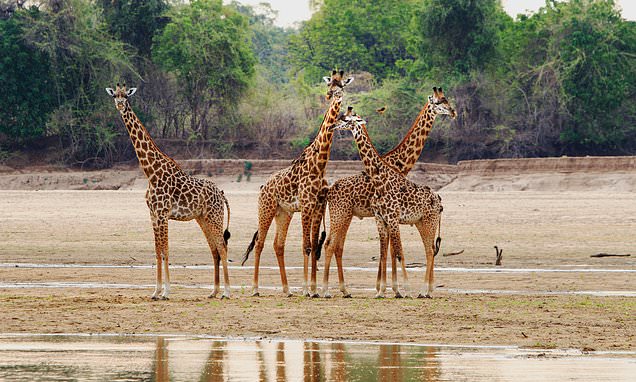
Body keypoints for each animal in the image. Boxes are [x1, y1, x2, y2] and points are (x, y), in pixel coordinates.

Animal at [105, 85, 232, 300]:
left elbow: (166, 250)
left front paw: (166, 291)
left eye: (126, 96)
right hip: (203, 218)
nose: (120, 105)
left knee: (222, 247)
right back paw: (213, 291)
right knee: (214, 249)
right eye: (114, 95)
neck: (151, 172)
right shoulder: (153, 214)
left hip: (215, 217)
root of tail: (221, 193)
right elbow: (158, 251)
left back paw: (227, 292)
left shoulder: (163, 214)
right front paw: (155, 291)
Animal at [242, 70, 356, 296]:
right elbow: (307, 246)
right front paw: (307, 289)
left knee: (278, 245)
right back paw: (255, 288)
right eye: (330, 84)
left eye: (341, 85)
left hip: (283, 213)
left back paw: (287, 289)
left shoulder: (319, 205)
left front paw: (314, 288)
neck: (319, 164)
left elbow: (313, 243)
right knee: (259, 243)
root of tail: (262, 186)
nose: (331, 95)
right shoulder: (306, 205)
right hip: (266, 208)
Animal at [322, 87, 452, 298]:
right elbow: (390, 252)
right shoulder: (383, 217)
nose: (453, 112)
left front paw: (392, 288)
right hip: (341, 214)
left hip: (348, 215)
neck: (397, 164)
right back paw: (325, 290)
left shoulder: (388, 218)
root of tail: (329, 190)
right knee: (331, 245)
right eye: (440, 102)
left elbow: (390, 252)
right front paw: (391, 288)